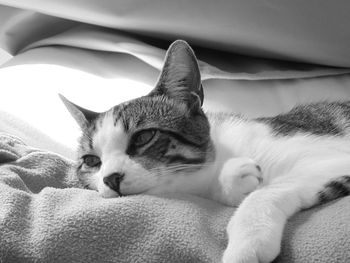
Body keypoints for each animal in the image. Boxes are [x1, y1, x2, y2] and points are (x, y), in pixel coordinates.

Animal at [61, 39, 350, 263]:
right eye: (91, 161)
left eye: (144, 136)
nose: (111, 179)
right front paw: (238, 180)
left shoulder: (331, 154)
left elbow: (267, 191)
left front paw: (245, 246)